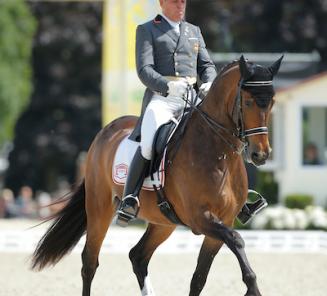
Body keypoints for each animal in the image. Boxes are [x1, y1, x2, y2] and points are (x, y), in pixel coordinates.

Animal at [32, 56, 284, 296]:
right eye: (248, 102)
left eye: (272, 102)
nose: (260, 154)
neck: (219, 153)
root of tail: (106, 131)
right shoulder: (201, 218)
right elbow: (237, 240)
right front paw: (253, 288)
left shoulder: (223, 221)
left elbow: (199, 278)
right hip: (99, 209)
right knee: (89, 262)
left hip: (163, 221)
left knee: (138, 256)